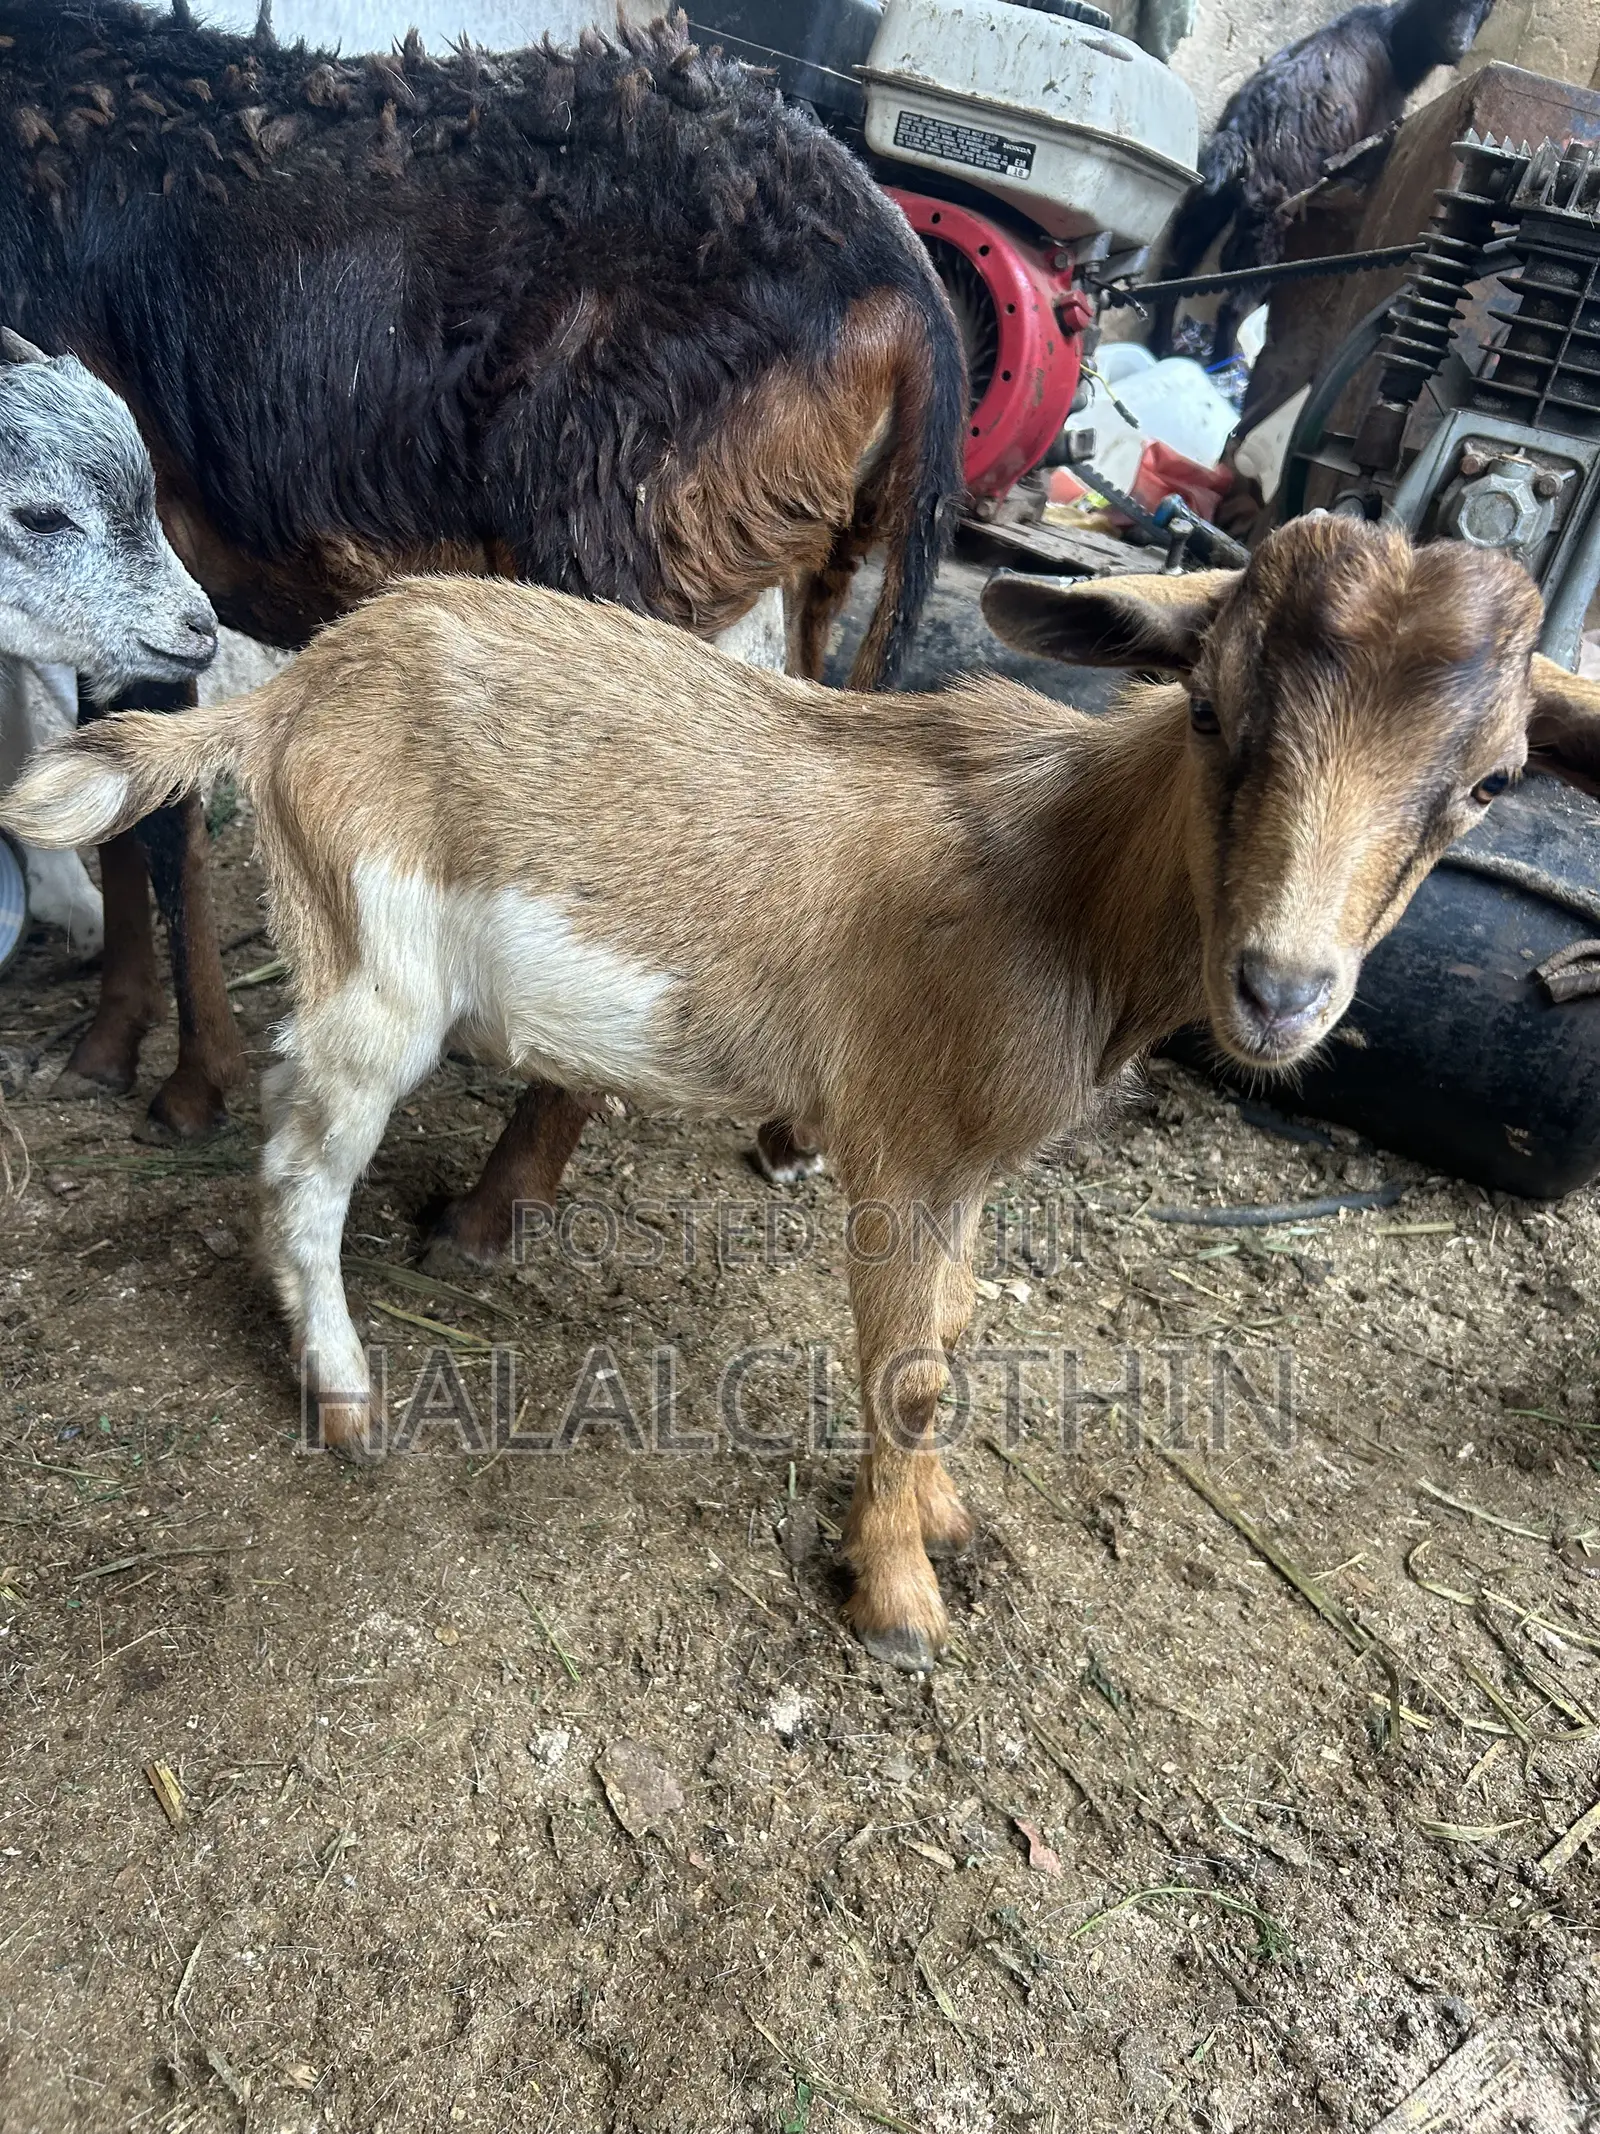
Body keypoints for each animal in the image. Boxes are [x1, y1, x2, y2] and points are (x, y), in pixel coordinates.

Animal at [14, 516, 1587, 1671]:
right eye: (1207, 707)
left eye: (1491, 782)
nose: (1280, 988)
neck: (1060, 882)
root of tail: (295, 687)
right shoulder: (895, 1146)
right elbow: (907, 1365)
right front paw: (894, 1600)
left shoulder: (967, 1163)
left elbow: (952, 1324)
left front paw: (940, 1517)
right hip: (373, 957)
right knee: (303, 1168)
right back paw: (344, 1398)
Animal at [1150, 0, 1496, 361]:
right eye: (1441, 6)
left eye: (1484, 8)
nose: (1458, 44)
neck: (1392, 39)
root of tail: (1242, 132)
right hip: (1271, 215)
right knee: (1233, 304)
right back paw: (1222, 363)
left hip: (1209, 203)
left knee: (1173, 271)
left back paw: (1161, 347)